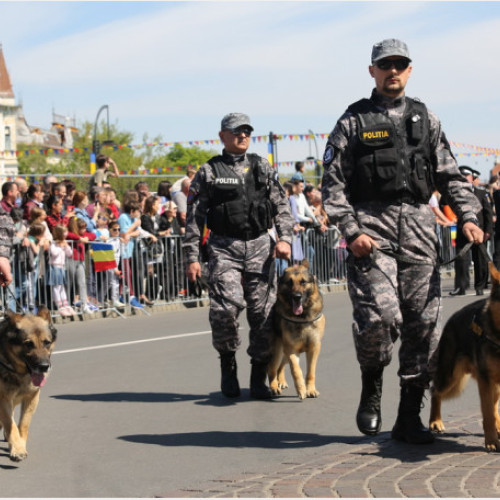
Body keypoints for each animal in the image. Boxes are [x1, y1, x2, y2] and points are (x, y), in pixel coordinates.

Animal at [0, 306, 57, 462]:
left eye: (47, 342)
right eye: (28, 344)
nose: (44, 367)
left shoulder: (32, 398)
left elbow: (23, 424)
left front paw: (20, 444)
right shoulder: (4, 399)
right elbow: (11, 425)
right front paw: (17, 449)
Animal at [268, 260, 326, 400]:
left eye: (303, 282)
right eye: (289, 282)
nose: (297, 297)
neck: (302, 317)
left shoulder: (314, 348)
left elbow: (310, 372)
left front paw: (310, 389)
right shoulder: (291, 350)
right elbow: (296, 370)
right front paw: (301, 389)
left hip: (283, 354)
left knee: (280, 367)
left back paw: (281, 381)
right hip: (279, 351)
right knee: (271, 368)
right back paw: (274, 387)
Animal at [430, 264, 500, 452]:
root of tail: (452, 318)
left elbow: (492, 410)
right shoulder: (485, 381)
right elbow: (488, 413)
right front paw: (491, 441)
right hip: (450, 377)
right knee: (434, 391)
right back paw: (435, 421)